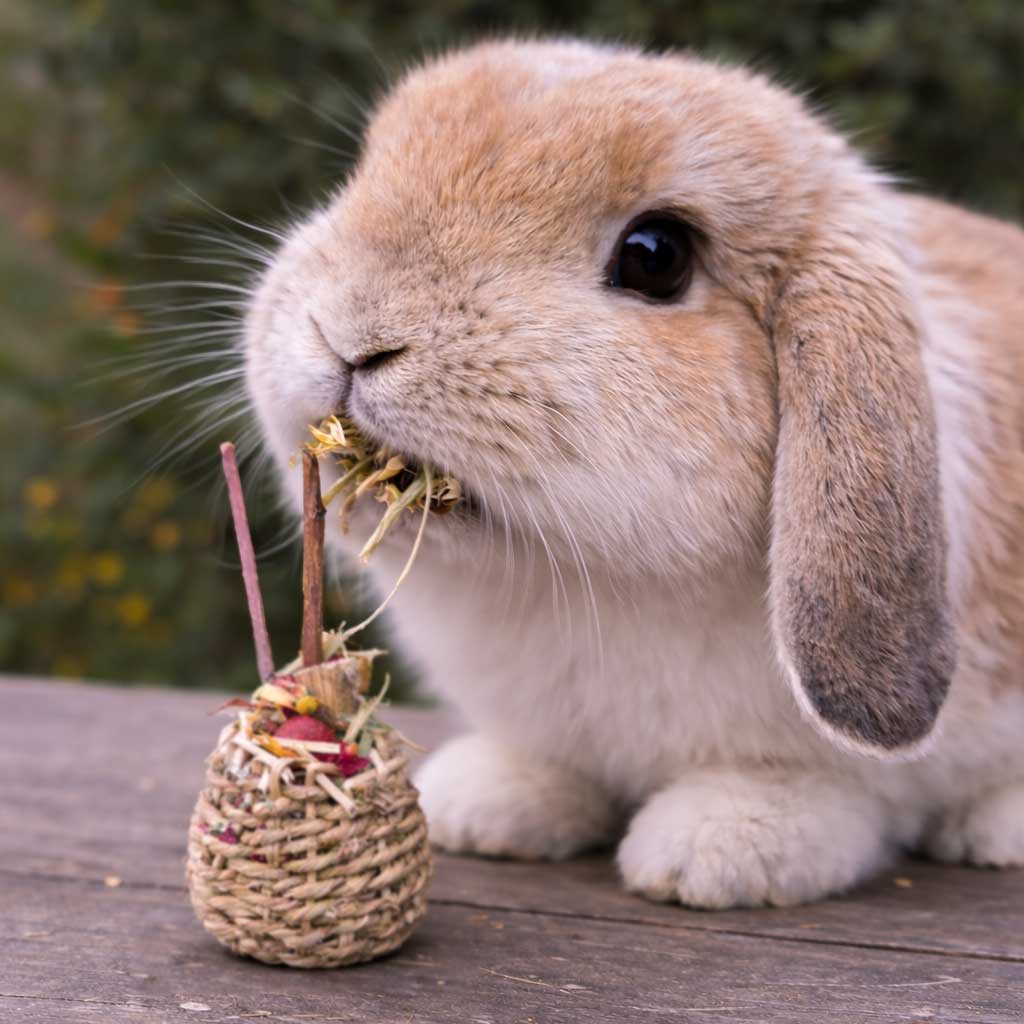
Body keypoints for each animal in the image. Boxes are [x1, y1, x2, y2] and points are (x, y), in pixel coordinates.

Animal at [244, 38, 1024, 908]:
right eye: (365, 172)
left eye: (656, 257)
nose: (350, 335)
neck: (571, 590)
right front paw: (484, 809)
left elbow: (823, 792)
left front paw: (717, 851)